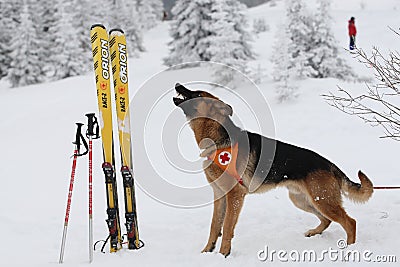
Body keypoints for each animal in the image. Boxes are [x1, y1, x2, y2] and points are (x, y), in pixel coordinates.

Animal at [173, 83, 376, 258]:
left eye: (198, 94)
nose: (177, 84)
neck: (218, 140)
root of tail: (330, 165)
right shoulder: (219, 196)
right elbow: (215, 226)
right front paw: (207, 251)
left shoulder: (235, 196)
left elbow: (228, 227)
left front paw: (224, 255)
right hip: (302, 200)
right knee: (328, 220)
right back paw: (314, 232)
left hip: (323, 201)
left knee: (350, 222)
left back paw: (350, 250)